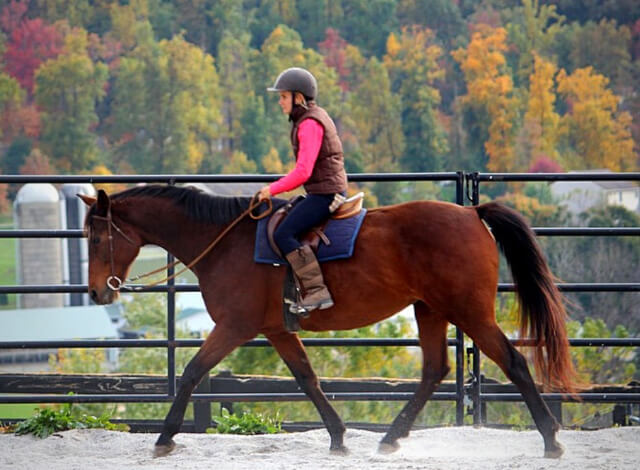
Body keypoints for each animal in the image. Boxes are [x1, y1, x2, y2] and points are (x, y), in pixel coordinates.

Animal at [80, 184, 576, 458]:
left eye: (98, 237)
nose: (98, 292)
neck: (224, 242)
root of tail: (471, 213)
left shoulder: (235, 327)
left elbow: (192, 371)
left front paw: (165, 437)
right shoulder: (277, 330)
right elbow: (308, 378)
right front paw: (338, 436)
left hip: (468, 311)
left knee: (513, 361)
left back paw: (551, 440)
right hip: (430, 309)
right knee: (435, 369)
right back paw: (391, 437)